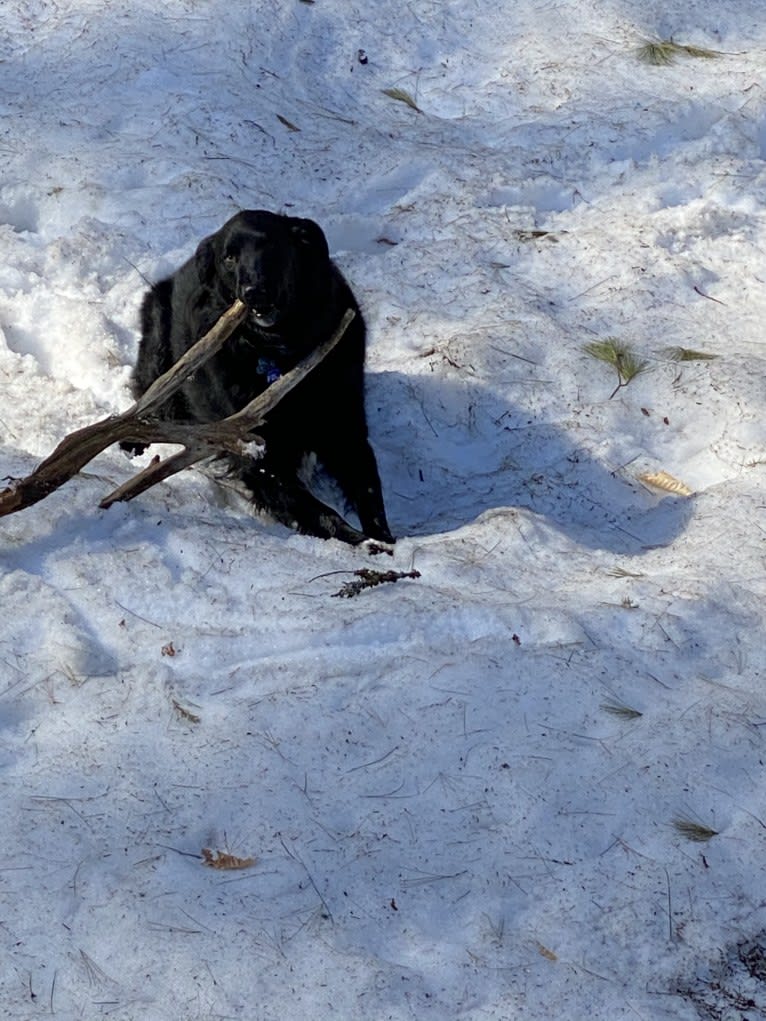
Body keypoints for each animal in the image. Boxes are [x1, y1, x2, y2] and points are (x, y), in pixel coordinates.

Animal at [126, 207, 396, 547]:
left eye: (272, 248)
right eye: (229, 258)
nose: (253, 291)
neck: (282, 351)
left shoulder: (344, 426)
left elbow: (368, 487)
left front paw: (384, 539)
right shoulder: (257, 451)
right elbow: (320, 511)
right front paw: (363, 544)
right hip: (161, 359)